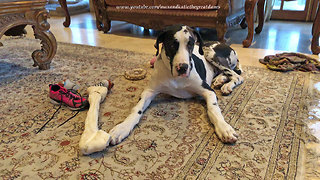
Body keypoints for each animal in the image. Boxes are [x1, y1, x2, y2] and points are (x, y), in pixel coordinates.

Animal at [109, 24, 244, 144]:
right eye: (171, 44)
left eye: (190, 44)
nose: (183, 67)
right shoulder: (149, 91)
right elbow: (137, 109)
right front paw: (122, 128)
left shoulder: (208, 91)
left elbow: (213, 109)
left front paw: (224, 128)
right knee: (228, 73)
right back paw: (220, 80)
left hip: (210, 54)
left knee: (238, 76)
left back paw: (227, 85)